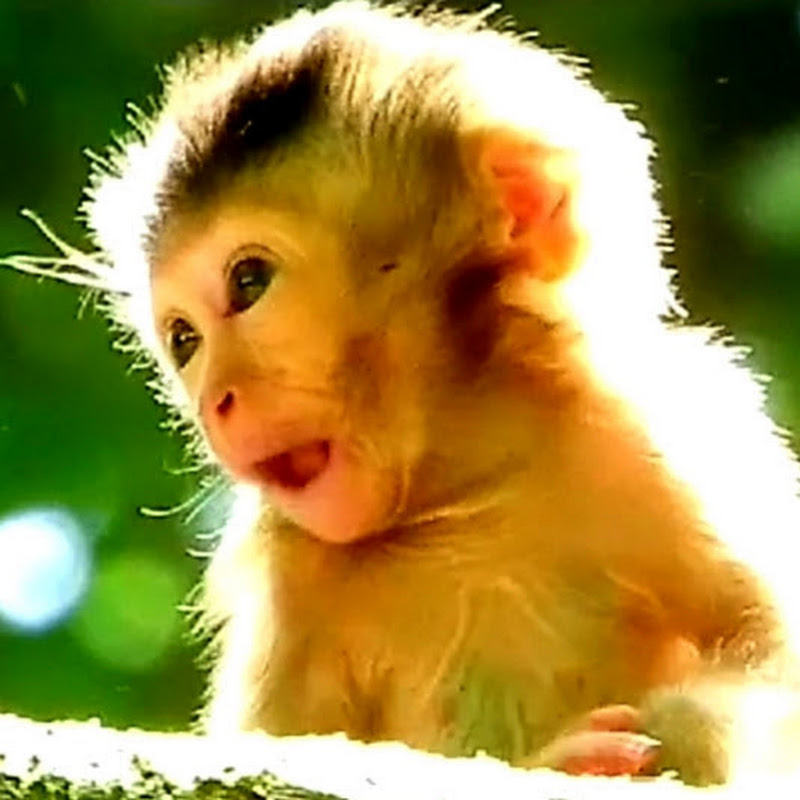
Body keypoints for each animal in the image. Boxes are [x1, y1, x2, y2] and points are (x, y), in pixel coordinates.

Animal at [5, 0, 800, 787]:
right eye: (183, 340)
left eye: (249, 281)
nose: (215, 403)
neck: (461, 493)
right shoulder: (291, 568)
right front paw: (578, 760)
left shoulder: (660, 436)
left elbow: (768, 650)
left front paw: (673, 740)